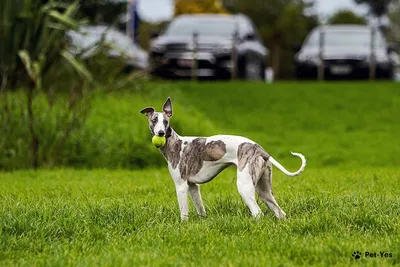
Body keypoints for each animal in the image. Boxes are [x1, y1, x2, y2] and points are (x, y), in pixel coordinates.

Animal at [141, 97, 306, 221]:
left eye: (165, 122)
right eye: (154, 120)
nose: (161, 133)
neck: (176, 143)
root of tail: (259, 149)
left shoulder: (181, 186)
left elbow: (184, 214)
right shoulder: (193, 186)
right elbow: (201, 209)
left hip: (245, 186)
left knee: (258, 213)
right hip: (264, 190)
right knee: (280, 212)